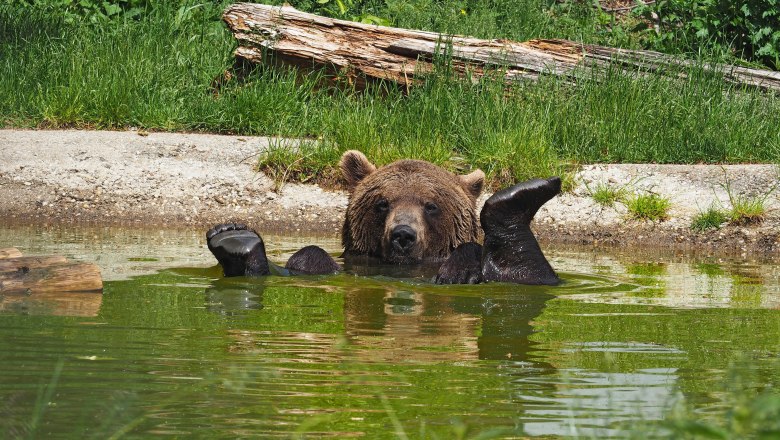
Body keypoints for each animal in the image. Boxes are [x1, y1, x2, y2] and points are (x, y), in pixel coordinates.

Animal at [207, 149, 560, 286]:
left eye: (431, 205)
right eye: (382, 203)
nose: (403, 234)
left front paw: (458, 269)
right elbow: (304, 262)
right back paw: (235, 239)